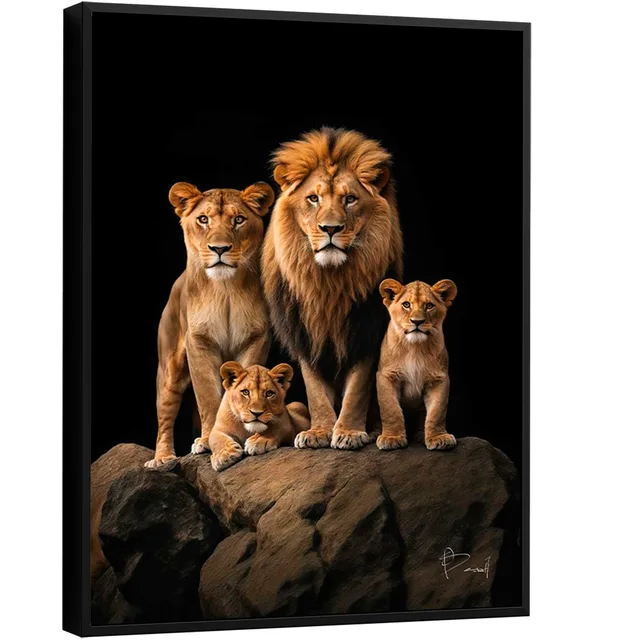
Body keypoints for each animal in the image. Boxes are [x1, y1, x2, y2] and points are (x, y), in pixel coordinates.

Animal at [145, 181, 275, 469]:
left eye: (239, 220)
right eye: (203, 219)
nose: (219, 248)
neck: (225, 289)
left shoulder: (255, 339)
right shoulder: (199, 343)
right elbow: (207, 396)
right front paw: (207, 440)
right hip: (169, 371)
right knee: (164, 417)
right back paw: (162, 458)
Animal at [261, 128, 403, 450]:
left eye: (350, 199)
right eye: (313, 198)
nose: (330, 229)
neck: (327, 283)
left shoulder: (364, 332)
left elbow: (357, 391)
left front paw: (349, 432)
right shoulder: (305, 334)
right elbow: (315, 393)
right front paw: (319, 432)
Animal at [376, 278, 458, 451]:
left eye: (429, 305)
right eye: (406, 304)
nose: (417, 322)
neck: (415, 348)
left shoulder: (439, 379)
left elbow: (437, 412)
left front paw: (438, 437)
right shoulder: (386, 376)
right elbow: (390, 409)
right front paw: (391, 438)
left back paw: (422, 435)